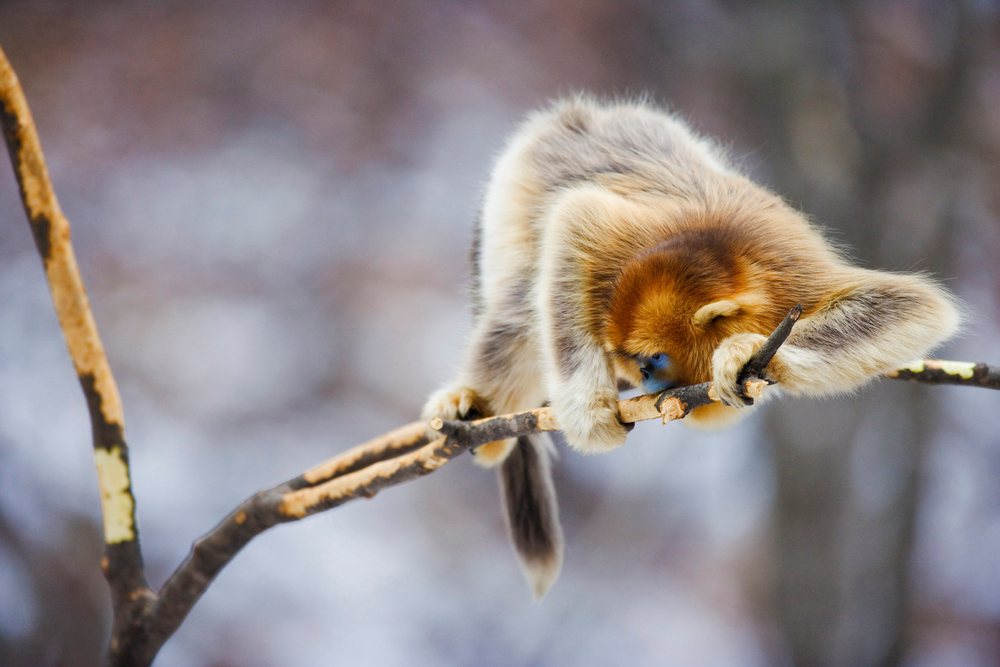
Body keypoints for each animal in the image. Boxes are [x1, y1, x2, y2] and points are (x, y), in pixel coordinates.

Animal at [423, 96, 960, 599]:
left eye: (653, 359)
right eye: (635, 360)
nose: (638, 379)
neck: (729, 252)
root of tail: (575, 117)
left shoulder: (792, 282)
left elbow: (915, 309)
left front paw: (745, 353)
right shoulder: (619, 250)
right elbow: (575, 219)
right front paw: (589, 412)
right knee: (521, 303)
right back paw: (478, 406)